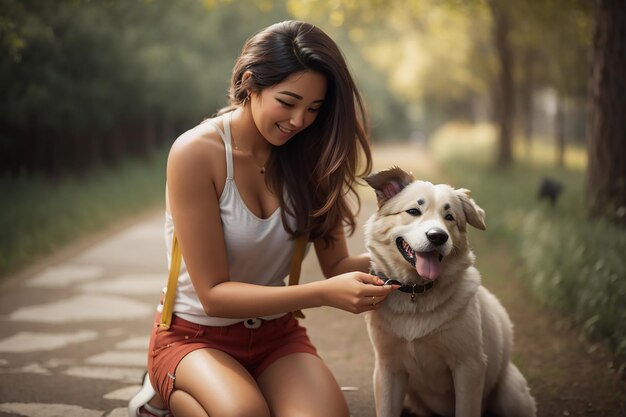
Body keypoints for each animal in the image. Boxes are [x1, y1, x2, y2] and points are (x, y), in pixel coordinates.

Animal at [364, 167, 532, 416]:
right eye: (413, 211)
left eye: (450, 217)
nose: (438, 236)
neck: (417, 292)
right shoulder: (387, 368)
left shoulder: (469, 367)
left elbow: (466, 409)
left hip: (509, 393)